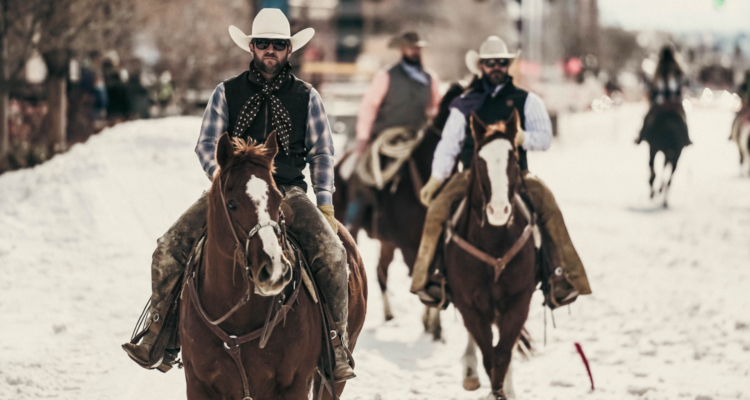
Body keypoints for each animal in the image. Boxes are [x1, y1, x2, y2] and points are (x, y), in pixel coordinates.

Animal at [444, 111, 544, 398]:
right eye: (480, 159)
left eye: (513, 159)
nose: (499, 210)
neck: (494, 242)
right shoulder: (470, 304)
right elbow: (490, 356)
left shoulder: (518, 301)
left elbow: (502, 354)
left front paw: (503, 391)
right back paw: (470, 371)